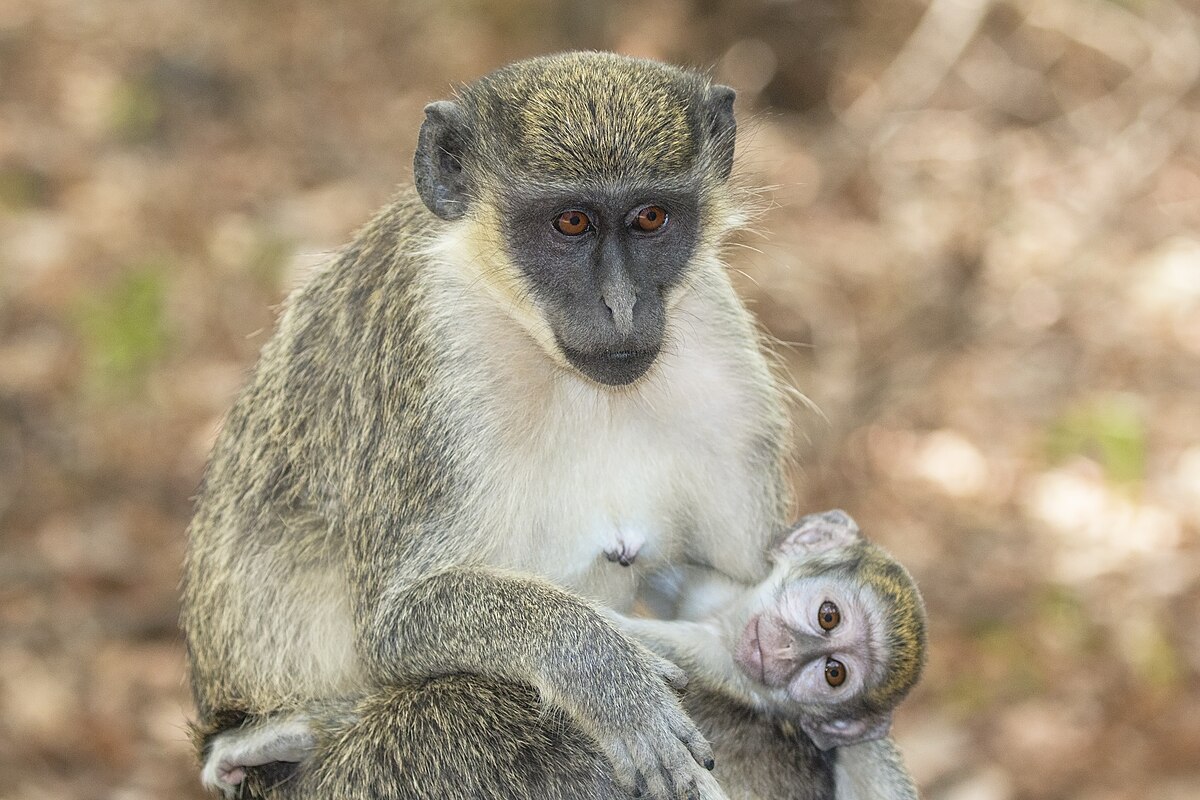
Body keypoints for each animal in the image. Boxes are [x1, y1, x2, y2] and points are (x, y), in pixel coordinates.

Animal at [184, 53, 796, 796]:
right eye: (571, 223)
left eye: (651, 217)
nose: (621, 307)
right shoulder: (429, 366)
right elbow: (391, 626)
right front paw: (606, 673)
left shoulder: (722, 362)